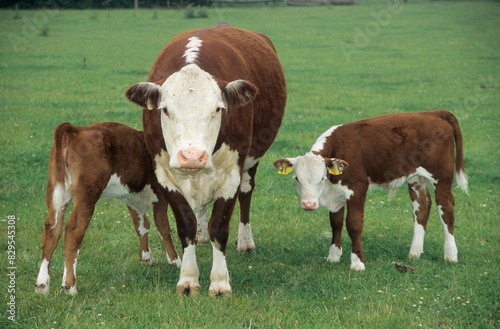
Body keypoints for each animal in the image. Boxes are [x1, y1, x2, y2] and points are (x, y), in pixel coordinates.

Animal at [35, 121, 181, 294]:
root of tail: (76, 130)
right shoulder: (161, 194)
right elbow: (163, 228)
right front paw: (175, 260)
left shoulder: (131, 197)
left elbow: (141, 226)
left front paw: (146, 257)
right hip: (87, 194)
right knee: (73, 230)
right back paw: (70, 285)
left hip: (56, 191)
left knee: (52, 229)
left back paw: (42, 284)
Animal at [125, 23, 288, 294]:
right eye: (165, 110)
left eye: (218, 109)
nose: (192, 156)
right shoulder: (164, 174)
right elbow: (185, 226)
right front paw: (188, 279)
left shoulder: (232, 173)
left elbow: (219, 229)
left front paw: (220, 282)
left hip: (251, 162)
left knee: (246, 195)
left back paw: (245, 241)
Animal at [276, 110, 466, 270]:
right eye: (296, 178)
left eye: (321, 178)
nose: (308, 204)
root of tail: (432, 113)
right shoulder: (336, 194)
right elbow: (335, 223)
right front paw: (333, 257)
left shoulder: (357, 188)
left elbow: (353, 225)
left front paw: (357, 263)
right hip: (416, 179)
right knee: (422, 208)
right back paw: (414, 253)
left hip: (442, 176)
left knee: (446, 209)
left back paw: (450, 255)